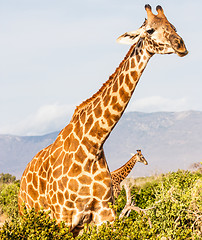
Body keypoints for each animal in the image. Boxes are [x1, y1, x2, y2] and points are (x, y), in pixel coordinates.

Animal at [18, 4, 187, 235]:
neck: (94, 144)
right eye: (150, 30)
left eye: (173, 26)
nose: (181, 45)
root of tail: (23, 178)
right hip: (29, 216)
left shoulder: (103, 214)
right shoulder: (63, 217)